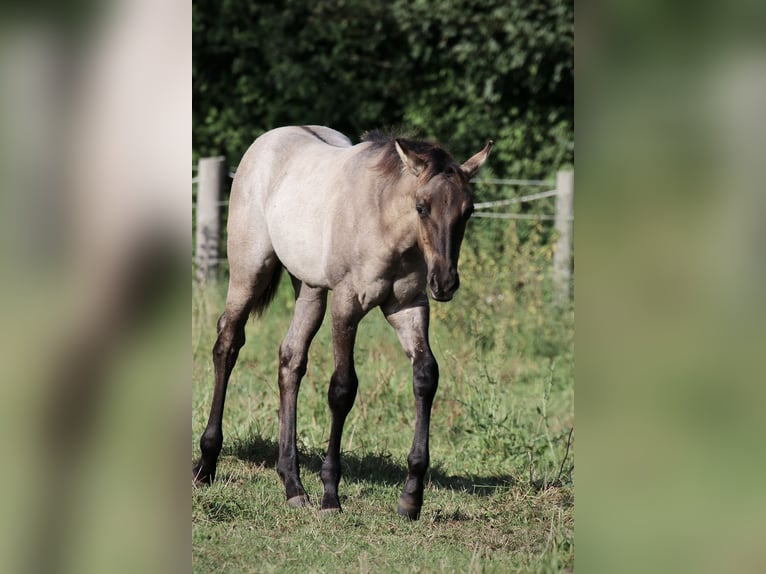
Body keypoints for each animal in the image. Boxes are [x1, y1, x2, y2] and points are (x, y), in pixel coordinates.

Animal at [192, 126, 492, 520]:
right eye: (421, 206)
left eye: (468, 211)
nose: (444, 283)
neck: (383, 223)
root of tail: (267, 141)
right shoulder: (347, 304)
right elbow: (342, 388)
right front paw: (331, 494)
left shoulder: (408, 306)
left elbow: (426, 376)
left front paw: (411, 498)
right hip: (249, 271)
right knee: (227, 344)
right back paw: (206, 465)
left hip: (310, 289)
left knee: (291, 359)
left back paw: (293, 484)